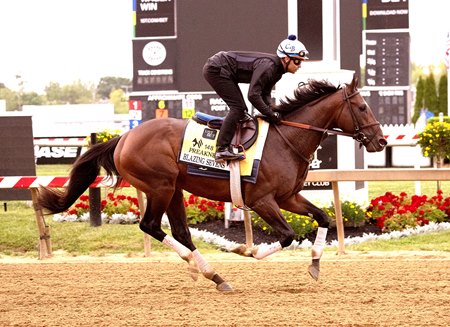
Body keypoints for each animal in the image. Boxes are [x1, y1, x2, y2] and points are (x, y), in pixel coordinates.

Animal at [37, 75, 386, 294]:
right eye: (361, 107)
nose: (380, 140)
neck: (286, 139)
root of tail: (124, 137)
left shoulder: (288, 197)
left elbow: (323, 217)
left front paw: (314, 264)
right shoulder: (262, 200)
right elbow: (287, 236)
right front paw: (245, 249)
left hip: (174, 189)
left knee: (180, 232)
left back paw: (209, 273)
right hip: (160, 187)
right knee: (151, 226)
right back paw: (204, 269)